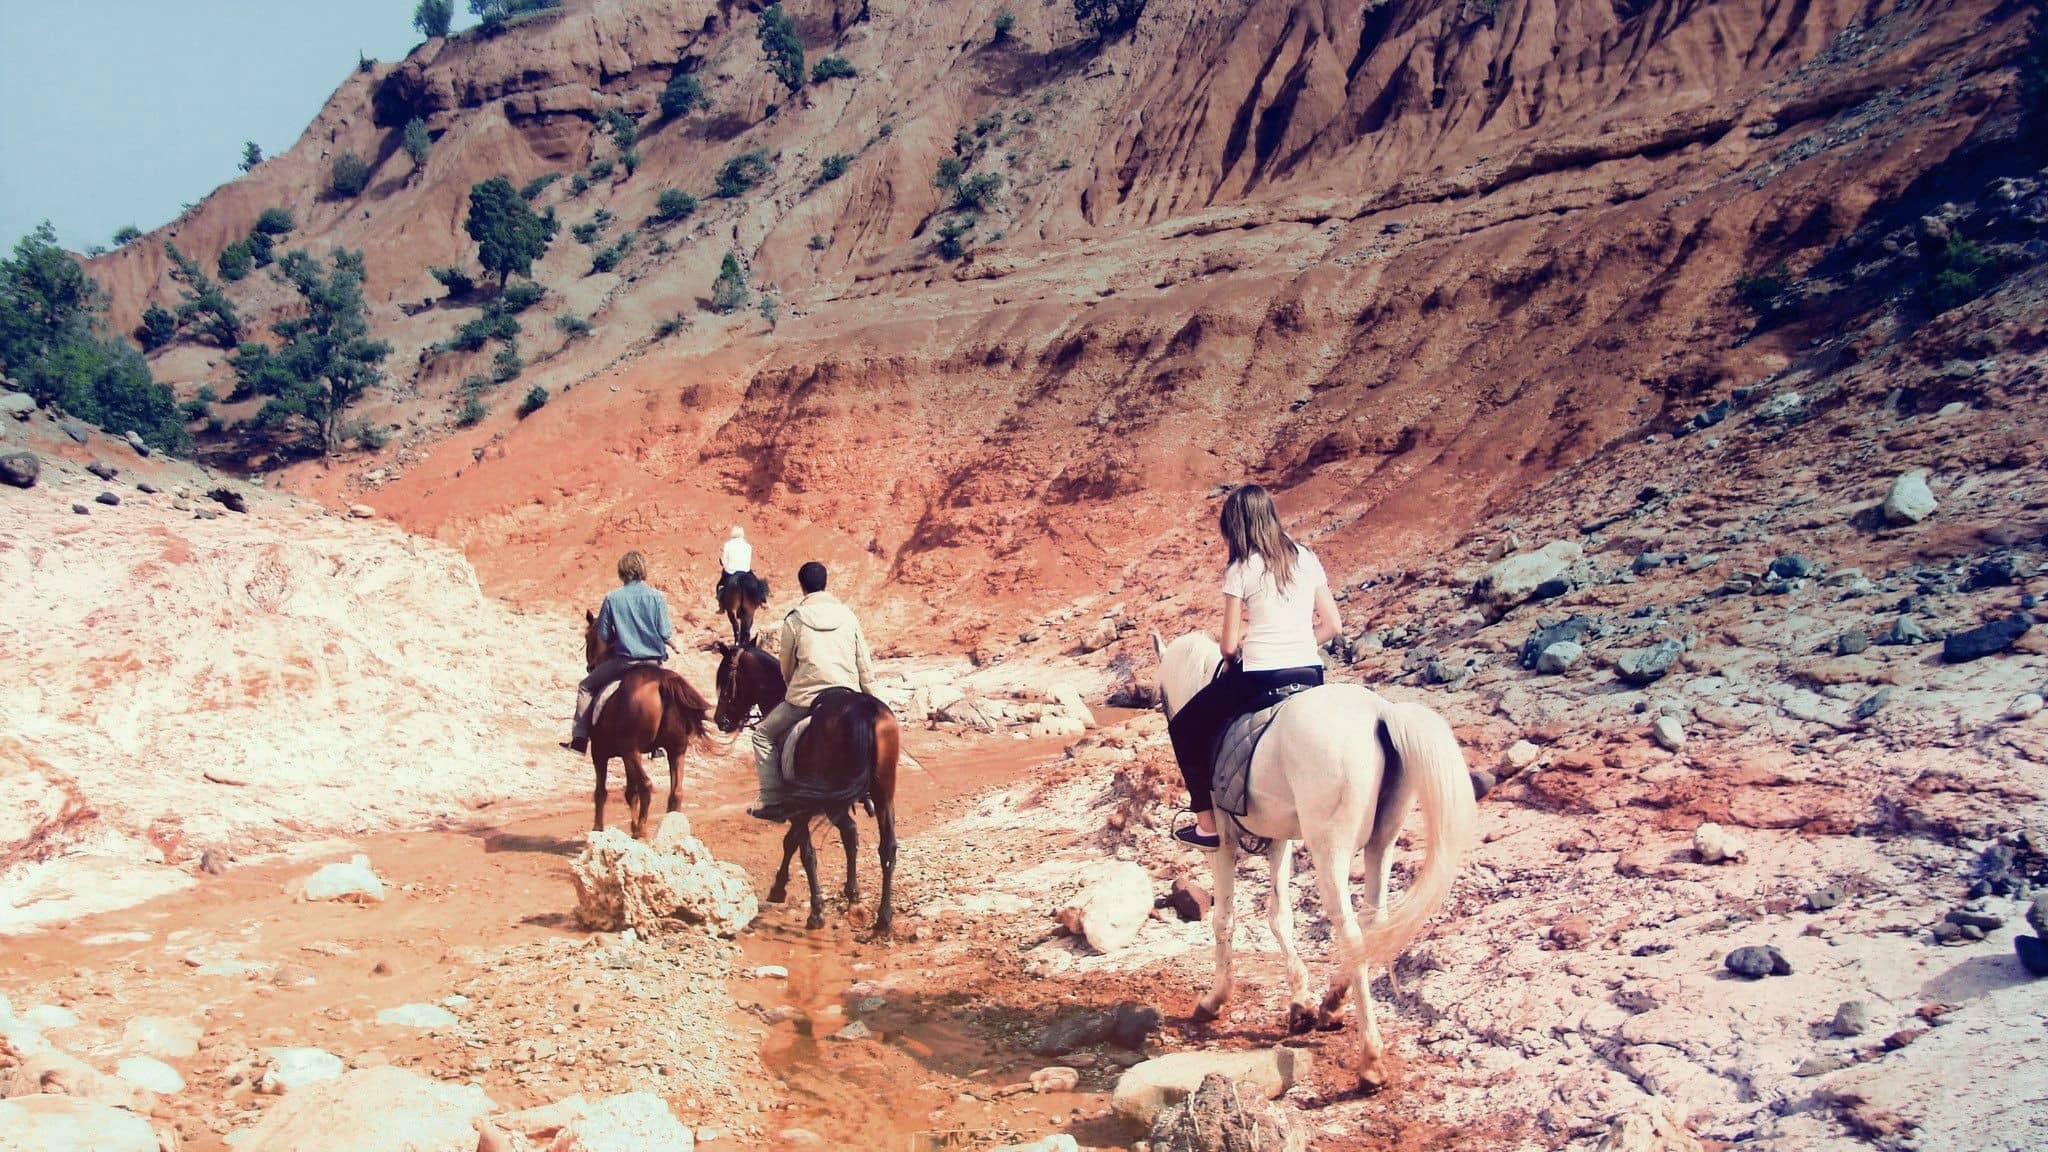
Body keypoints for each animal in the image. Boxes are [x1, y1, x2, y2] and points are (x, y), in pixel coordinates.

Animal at [589, 610, 716, 832]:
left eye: (588, 638)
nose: (590, 666)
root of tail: (661, 682)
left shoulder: (600, 753)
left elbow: (602, 792)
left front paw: (599, 828)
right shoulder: (628, 756)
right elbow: (630, 791)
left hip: (632, 750)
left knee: (646, 785)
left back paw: (641, 830)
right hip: (676, 749)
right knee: (676, 792)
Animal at [712, 639, 897, 926]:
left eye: (726, 677)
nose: (720, 720)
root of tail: (864, 711)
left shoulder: (799, 803)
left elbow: (801, 848)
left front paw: (812, 908)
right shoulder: (819, 803)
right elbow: (834, 838)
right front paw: (849, 894)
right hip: (880, 794)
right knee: (884, 847)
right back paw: (882, 918)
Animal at [1155, 627, 1474, 1082]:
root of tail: (1381, 714)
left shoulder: (1225, 845)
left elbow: (1224, 920)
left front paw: (1214, 1000)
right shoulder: (1280, 841)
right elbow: (1279, 916)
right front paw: (1301, 1001)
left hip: (1330, 851)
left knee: (1351, 932)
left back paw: (1370, 1059)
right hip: (1381, 844)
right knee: (1373, 923)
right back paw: (1331, 1003)